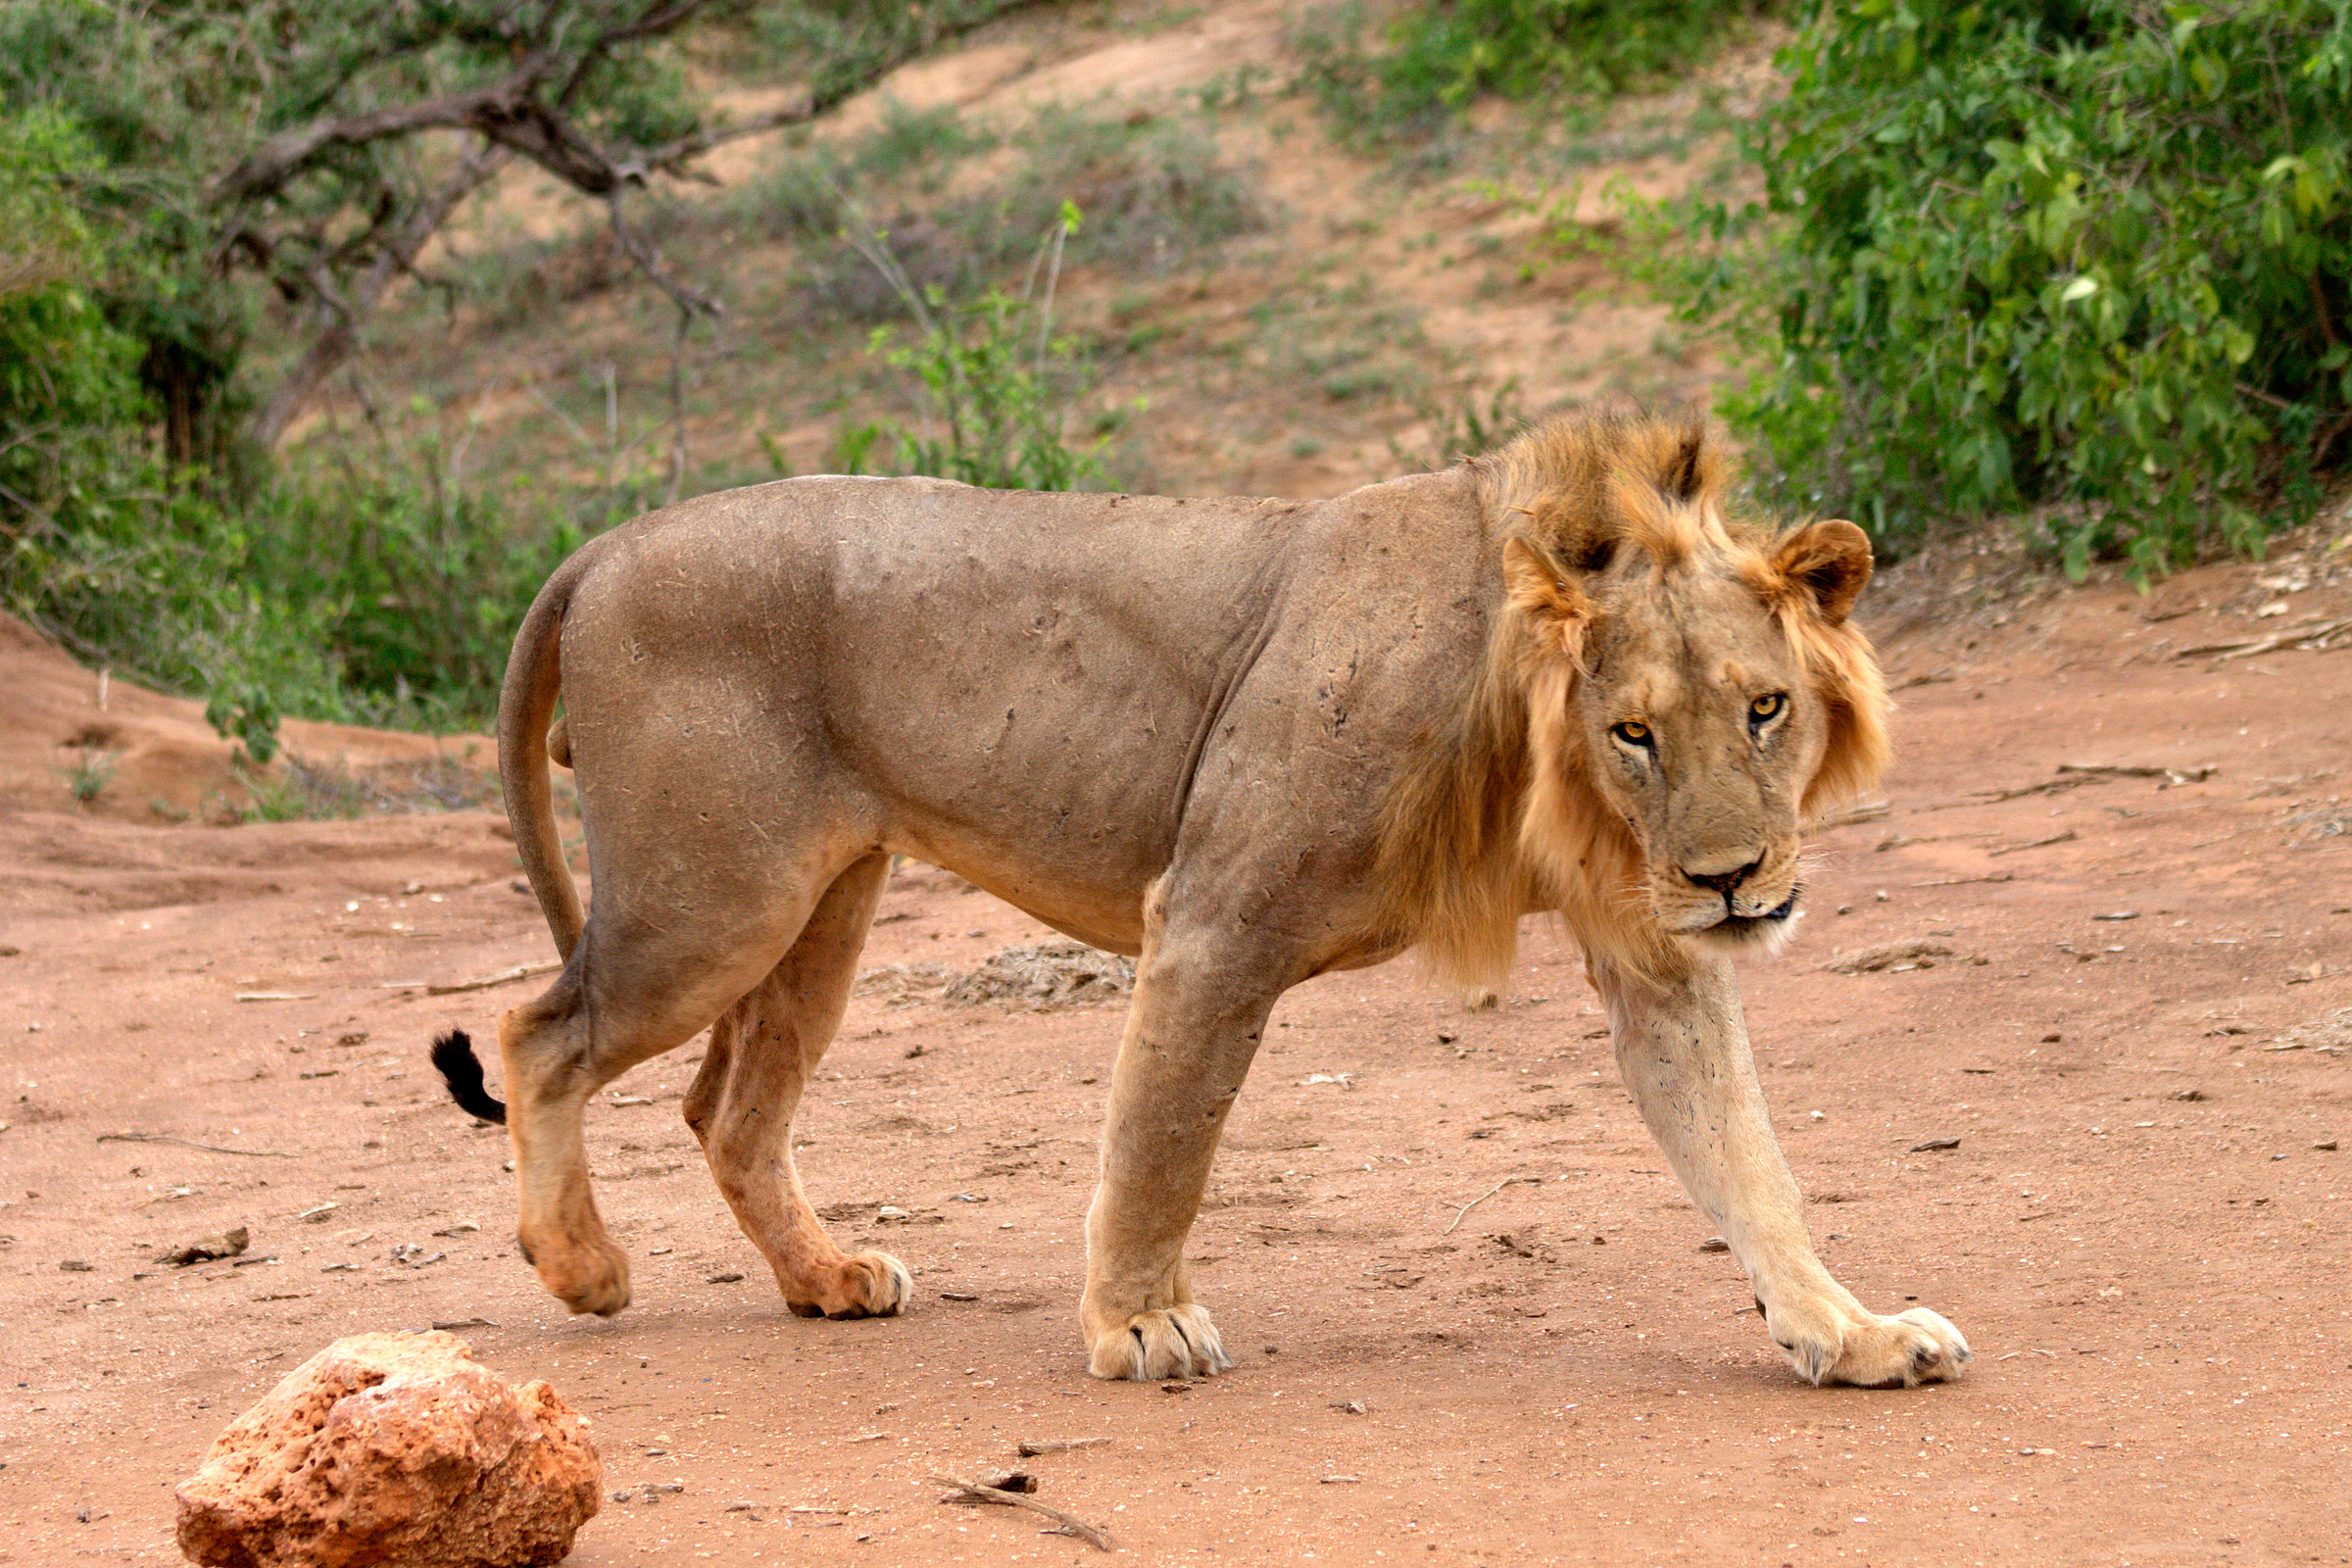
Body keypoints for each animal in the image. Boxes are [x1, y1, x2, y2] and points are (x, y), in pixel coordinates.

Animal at [431, 402, 1970, 1389]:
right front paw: (1137, 1330)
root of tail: (606, 543)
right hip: (715, 898)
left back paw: (827, 1281)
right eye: (1635, 731)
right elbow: (1164, 1138)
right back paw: (583, 1268)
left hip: (825, 904)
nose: (1731, 881)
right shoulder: (1219, 912)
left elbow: (1748, 1162)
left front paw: (1852, 1334)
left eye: (1765, 708)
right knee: (538, 1035)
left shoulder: (1653, 953)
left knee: (727, 1108)